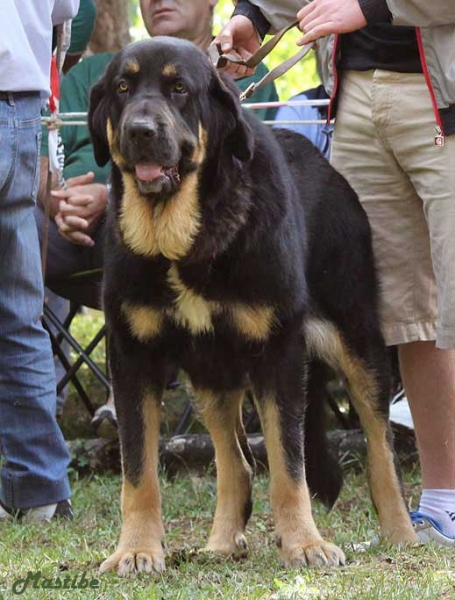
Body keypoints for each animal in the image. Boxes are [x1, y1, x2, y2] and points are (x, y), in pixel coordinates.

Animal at [87, 37, 418, 576]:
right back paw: (221, 543)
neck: (188, 238)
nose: (140, 130)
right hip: (210, 372)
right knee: (235, 461)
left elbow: (288, 463)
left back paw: (403, 534)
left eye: (179, 89)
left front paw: (305, 543)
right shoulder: (132, 354)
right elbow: (137, 468)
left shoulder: (279, 351)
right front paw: (135, 550)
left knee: (380, 445)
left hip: (357, 340)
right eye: (122, 88)